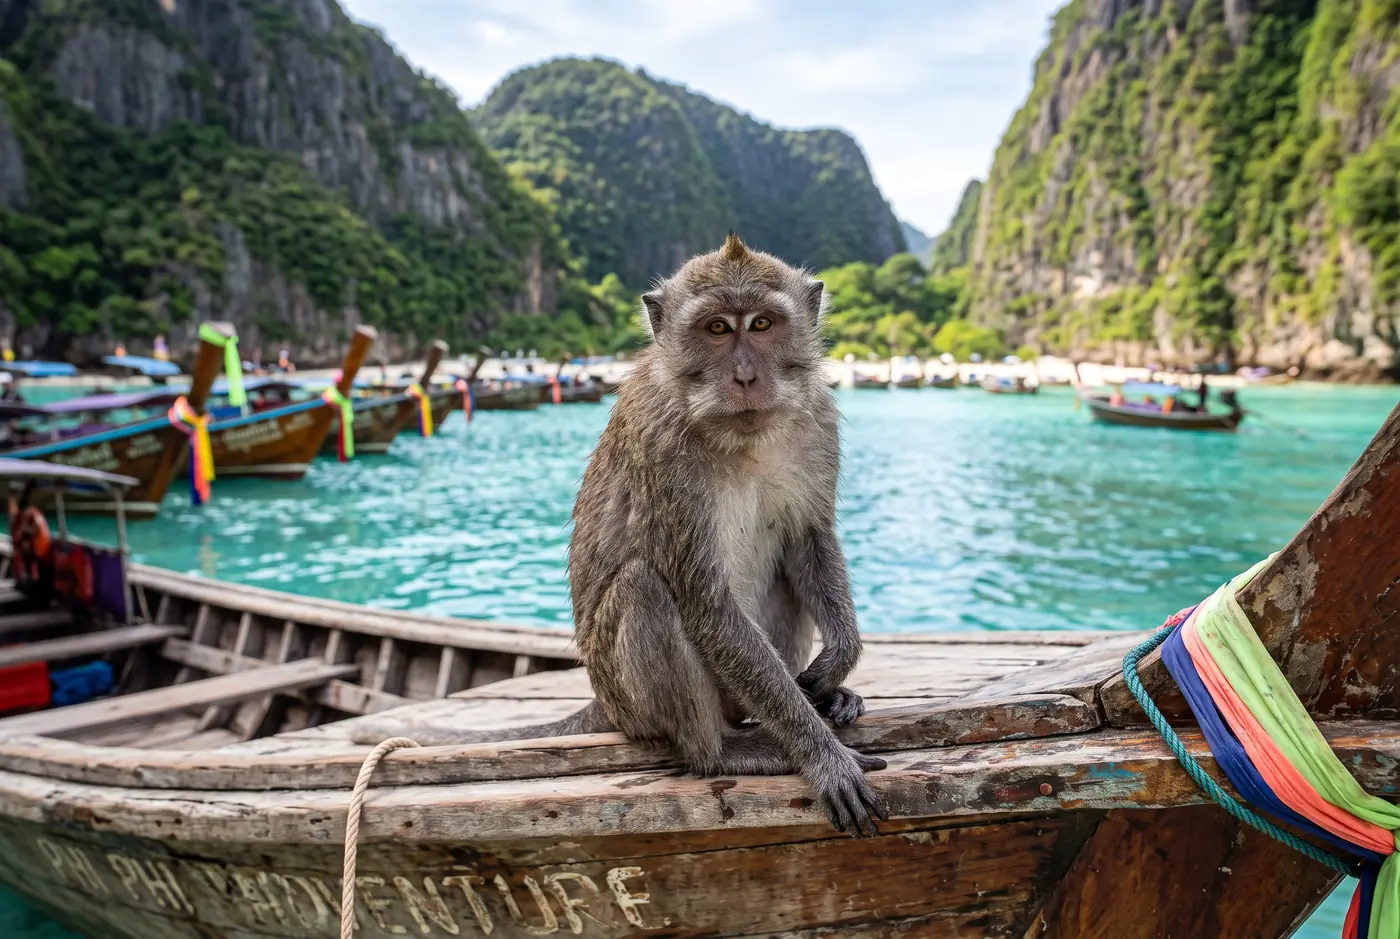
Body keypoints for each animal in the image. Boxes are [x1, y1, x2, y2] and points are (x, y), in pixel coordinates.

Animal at [352, 233, 886, 835]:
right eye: (717, 329)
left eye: (763, 324)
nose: (746, 377)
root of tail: (603, 702)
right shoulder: (661, 450)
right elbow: (707, 605)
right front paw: (822, 758)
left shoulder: (816, 419)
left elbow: (807, 538)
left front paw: (838, 661)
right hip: (632, 700)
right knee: (642, 588)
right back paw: (719, 753)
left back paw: (824, 700)